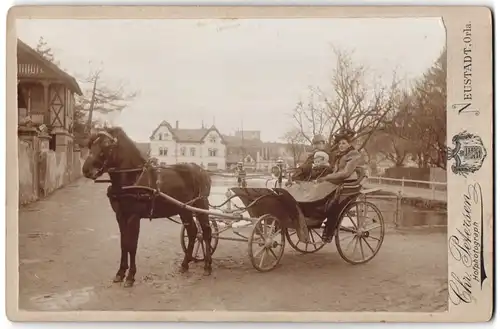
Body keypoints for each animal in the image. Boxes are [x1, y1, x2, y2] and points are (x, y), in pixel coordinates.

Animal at [81, 127, 213, 286]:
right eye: (91, 144)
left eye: (107, 144)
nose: (86, 170)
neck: (131, 180)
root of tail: (202, 170)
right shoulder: (120, 216)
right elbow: (123, 244)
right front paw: (120, 273)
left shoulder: (134, 217)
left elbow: (132, 245)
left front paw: (130, 276)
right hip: (184, 209)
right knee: (193, 232)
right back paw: (185, 264)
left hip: (201, 205)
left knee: (206, 232)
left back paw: (207, 266)